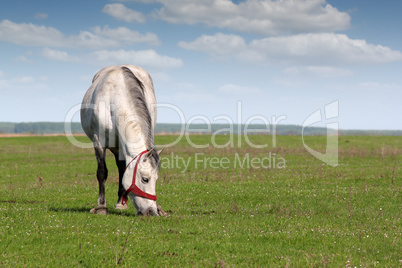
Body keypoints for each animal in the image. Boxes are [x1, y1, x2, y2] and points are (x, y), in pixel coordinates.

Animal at [81, 64, 163, 216]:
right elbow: (102, 172)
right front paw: (101, 206)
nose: (152, 211)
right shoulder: (99, 142)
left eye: (156, 179)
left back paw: (121, 202)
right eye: (145, 179)